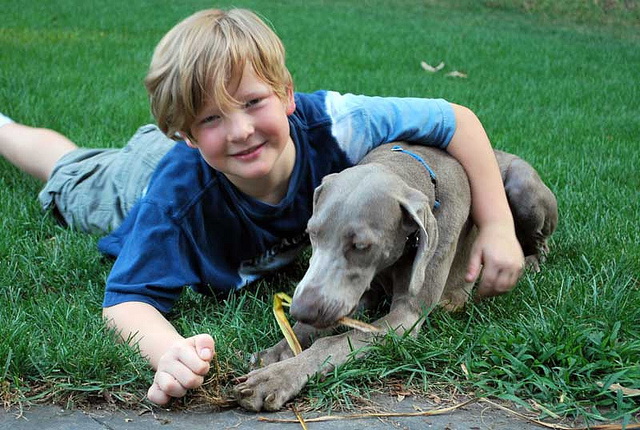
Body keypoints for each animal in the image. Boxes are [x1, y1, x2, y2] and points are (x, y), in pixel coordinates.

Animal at [232, 143, 556, 412]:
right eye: (312, 233)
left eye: (361, 245)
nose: (301, 310)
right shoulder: (359, 291)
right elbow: (316, 328)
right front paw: (278, 351)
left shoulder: (406, 317)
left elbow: (335, 342)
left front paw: (275, 378)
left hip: (523, 188)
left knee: (542, 243)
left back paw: (531, 261)